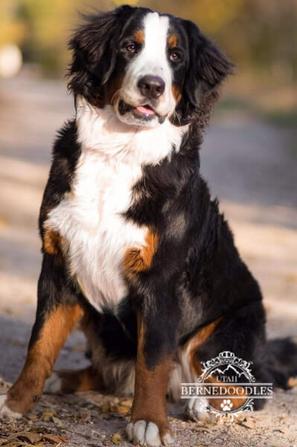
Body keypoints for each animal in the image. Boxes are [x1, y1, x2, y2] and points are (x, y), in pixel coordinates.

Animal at [1, 4, 294, 447]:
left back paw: (203, 406)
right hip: (97, 321)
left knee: (246, 385)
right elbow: (39, 346)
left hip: (221, 331)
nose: (153, 86)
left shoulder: (160, 281)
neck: (120, 153)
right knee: (110, 373)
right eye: (129, 46)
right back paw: (60, 380)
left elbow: (152, 360)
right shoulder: (57, 265)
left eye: (176, 56)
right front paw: (16, 404)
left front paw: (149, 422)